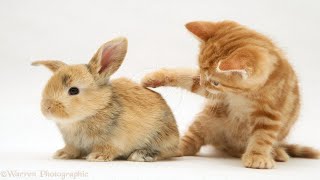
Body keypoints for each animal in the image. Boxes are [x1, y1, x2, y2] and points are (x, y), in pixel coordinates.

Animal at [32, 37, 180, 162]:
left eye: (74, 90)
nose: (47, 108)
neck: (97, 108)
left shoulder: (113, 141)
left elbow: (107, 149)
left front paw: (97, 157)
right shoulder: (73, 143)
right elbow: (72, 149)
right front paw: (61, 154)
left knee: (166, 152)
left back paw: (140, 155)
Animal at [143, 21, 320, 169]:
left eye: (215, 82)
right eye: (201, 71)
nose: (203, 82)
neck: (244, 95)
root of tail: (229, 147)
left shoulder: (270, 113)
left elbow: (262, 136)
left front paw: (257, 155)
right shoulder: (220, 95)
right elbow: (187, 78)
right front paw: (155, 77)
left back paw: (277, 153)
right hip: (208, 119)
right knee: (192, 141)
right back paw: (173, 148)